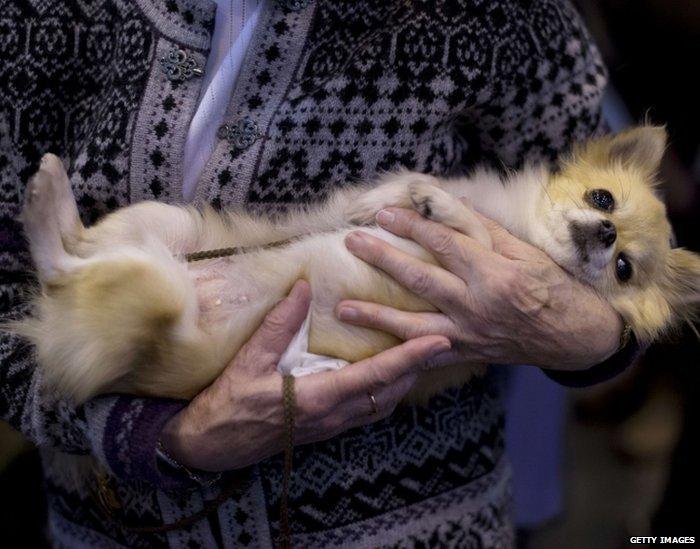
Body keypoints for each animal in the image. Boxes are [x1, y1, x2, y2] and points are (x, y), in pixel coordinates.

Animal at [6, 127, 700, 402]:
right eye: (602, 199)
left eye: (624, 269)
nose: (605, 233)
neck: (524, 227)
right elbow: (402, 190)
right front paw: (392, 196)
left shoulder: (495, 257)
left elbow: (464, 220)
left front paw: (434, 202)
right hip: (166, 228)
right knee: (78, 247)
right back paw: (53, 197)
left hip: (155, 290)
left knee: (62, 266)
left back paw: (43, 201)